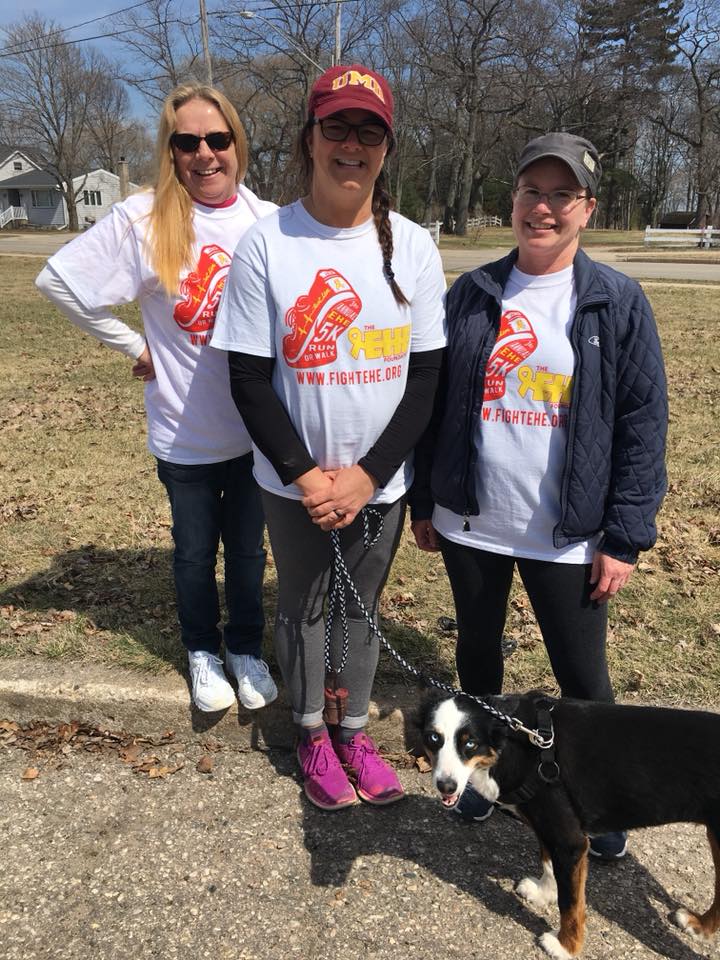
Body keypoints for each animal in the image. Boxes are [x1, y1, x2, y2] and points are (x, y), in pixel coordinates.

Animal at [418, 691, 720, 958]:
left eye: (470, 744)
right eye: (434, 738)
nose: (446, 786)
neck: (518, 743)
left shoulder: (570, 842)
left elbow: (571, 904)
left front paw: (565, 946)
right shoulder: (549, 829)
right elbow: (549, 864)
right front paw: (543, 893)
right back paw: (700, 926)